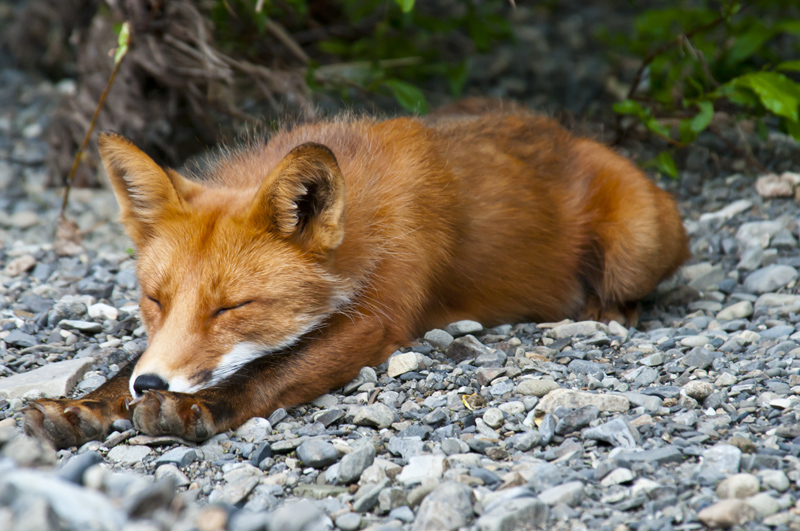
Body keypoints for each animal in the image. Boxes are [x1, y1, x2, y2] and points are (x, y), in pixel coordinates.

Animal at [23, 101, 688, 448]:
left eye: (231, 308)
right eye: (154, 301)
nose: (153, 386)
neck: (365, 220)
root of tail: (571, 132)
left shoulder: (379, 318)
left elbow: (270, 369)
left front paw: (195, 407)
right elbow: (121, 365)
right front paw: (84, 405)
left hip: (635, 249)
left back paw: (603, 310)